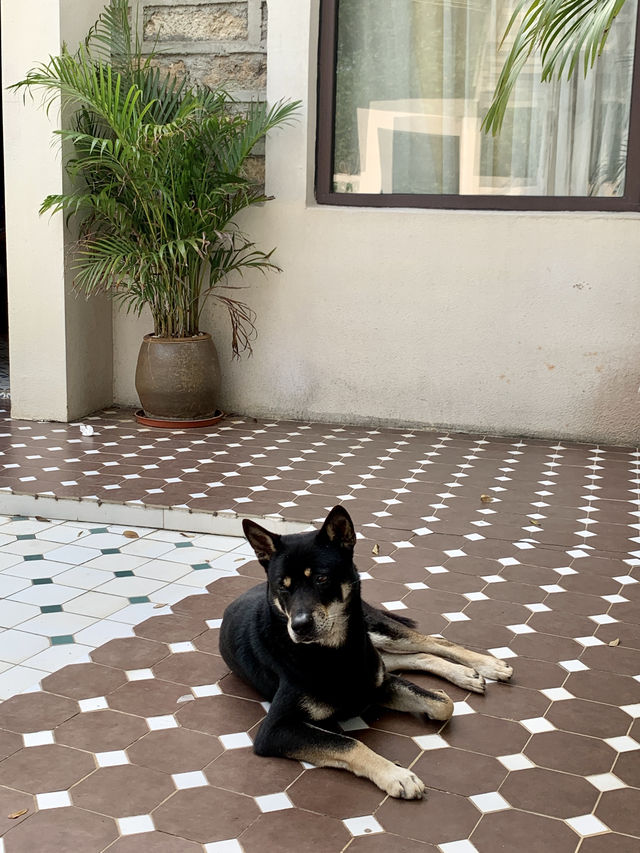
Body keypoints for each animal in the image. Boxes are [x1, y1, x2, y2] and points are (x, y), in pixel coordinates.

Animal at [220, 502, 516, 796]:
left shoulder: (377, 682)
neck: (333, 652)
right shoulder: (275, 730)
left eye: (321, 578)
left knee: (432, 643)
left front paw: (445, 691)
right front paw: (396, 774)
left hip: (375, 630)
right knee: (414, 656)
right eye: (283, 586)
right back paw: (466, 674)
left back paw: (486, 666)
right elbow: (349, 743)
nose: (300, 626)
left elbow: (443, 704)